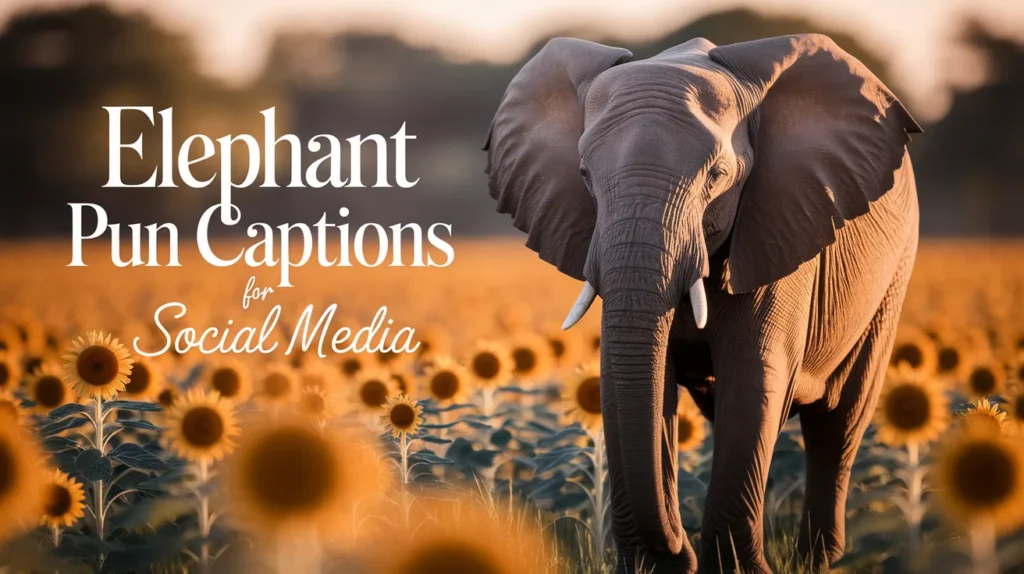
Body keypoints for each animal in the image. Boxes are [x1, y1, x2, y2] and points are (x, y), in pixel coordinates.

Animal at [483, 34, 921, 573]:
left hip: (893, 275)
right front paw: (653, 568)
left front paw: (733, 569)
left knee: (838, 423)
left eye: (717, 175)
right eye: (583, 174)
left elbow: (753, 381)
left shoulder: (778, 224)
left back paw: (816, 561)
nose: (678, 547)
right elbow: (634, 379)